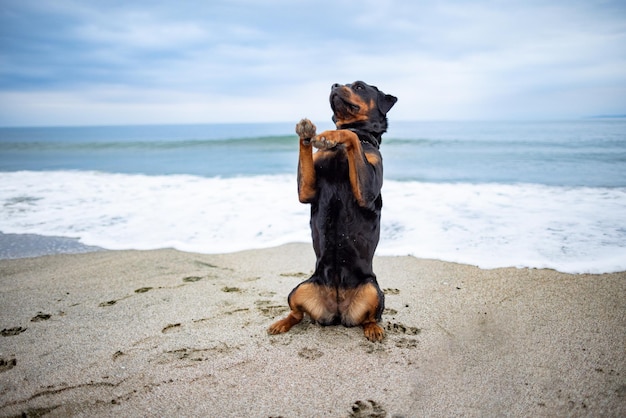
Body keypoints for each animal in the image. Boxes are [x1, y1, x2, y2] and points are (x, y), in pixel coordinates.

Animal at [266, 80, 394, 342]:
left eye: (359, 86)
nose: (334, 85)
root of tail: (337, 310)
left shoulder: (366, 191)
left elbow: (350, 134)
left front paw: (329, 135)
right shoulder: (306, 190)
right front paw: (307, 133)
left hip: (373, 289)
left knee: (371, 317)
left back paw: (374, 330)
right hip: (300, 287)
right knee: (296, 314)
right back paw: (281, 324)